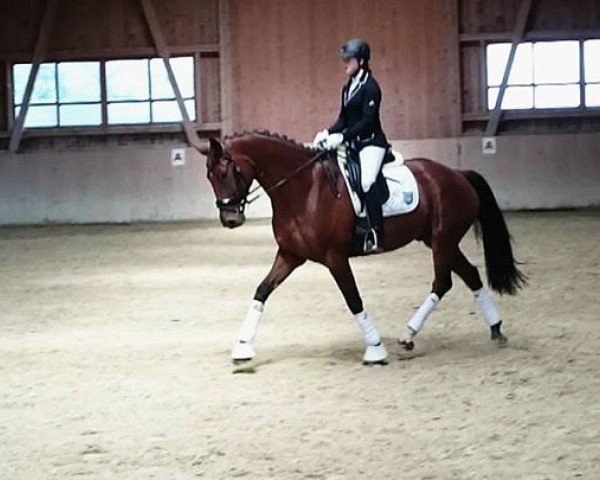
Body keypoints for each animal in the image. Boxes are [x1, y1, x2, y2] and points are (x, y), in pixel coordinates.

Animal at [198, 130, 524, 364]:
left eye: (224, 173)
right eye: (209, 176)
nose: (230, 219)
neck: (303, 189)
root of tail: (458, 174)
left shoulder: (335, 258)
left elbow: (353, 299)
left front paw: (375, 349)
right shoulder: (290, 256)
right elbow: (262, 291)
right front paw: (242, 348)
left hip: (442, 240)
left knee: (443, 281)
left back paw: (410, 335)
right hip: (438, 240)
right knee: (469, 275)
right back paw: (493, 328)